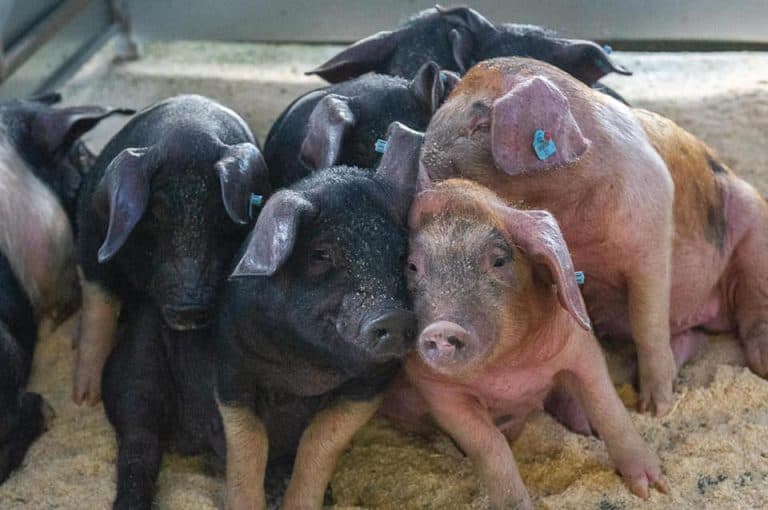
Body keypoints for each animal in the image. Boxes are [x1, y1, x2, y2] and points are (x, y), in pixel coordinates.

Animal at [74, 94, 271, 508]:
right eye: (153, 218)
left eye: (221, 222)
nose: (189, 308)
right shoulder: (92, 233)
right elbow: (98, 302)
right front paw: (83, 399)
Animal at [216, 122, 421, 510]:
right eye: (321, 254)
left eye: (402, 253)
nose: (394, 317)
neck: (306, 367)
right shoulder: (230, 364)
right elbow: (248, 443)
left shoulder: (376, 379)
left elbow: (323, 436)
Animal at [381, 179, 668, 509]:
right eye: (413, 267)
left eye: (499, 260)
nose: (442, 328)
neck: (508, 369)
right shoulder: (436, 389)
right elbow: (489, 446)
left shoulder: (580, 349)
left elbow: (608, 409)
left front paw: (653, 488)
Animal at [419, 56, 768, 420]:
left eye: (479, 124)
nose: (421, 170)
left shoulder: (653, 237)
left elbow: (648, 321)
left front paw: (654, 409)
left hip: (755, 221)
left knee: (753, 303)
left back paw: (761, 365)